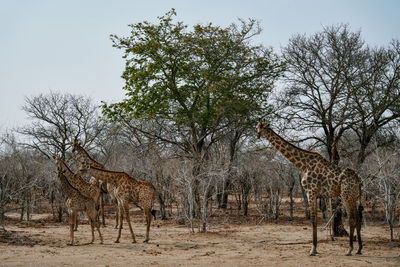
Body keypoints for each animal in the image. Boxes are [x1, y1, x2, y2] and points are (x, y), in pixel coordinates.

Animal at [256, 122, 362, 258]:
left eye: (260, 127)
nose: (257, 135)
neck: (304, 164)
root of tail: (359, 179)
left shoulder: (310, 192)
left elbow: (313, 220)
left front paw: (312, 250)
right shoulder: (315, 194)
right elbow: (315, 219)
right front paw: (315, 249)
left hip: (346, 195)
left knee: (352, 218)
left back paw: (349, 250)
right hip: (354, 196)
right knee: (357, 218)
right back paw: (359, 249)